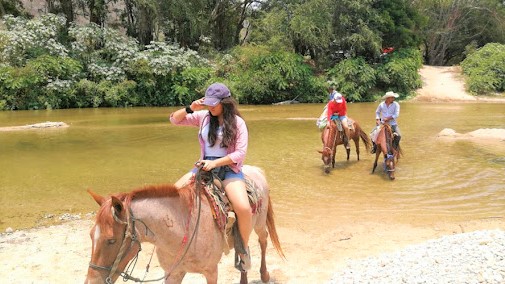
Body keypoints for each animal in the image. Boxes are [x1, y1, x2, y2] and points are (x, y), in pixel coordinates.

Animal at [84, 165, 286, 282]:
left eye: (111, 240)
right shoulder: (173, 273)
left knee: (262, 241)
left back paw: (264, 275)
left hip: (259, 224)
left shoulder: (211, 272)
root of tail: (256, 169)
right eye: (91, 236)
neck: (182, 232)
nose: (91, 282)